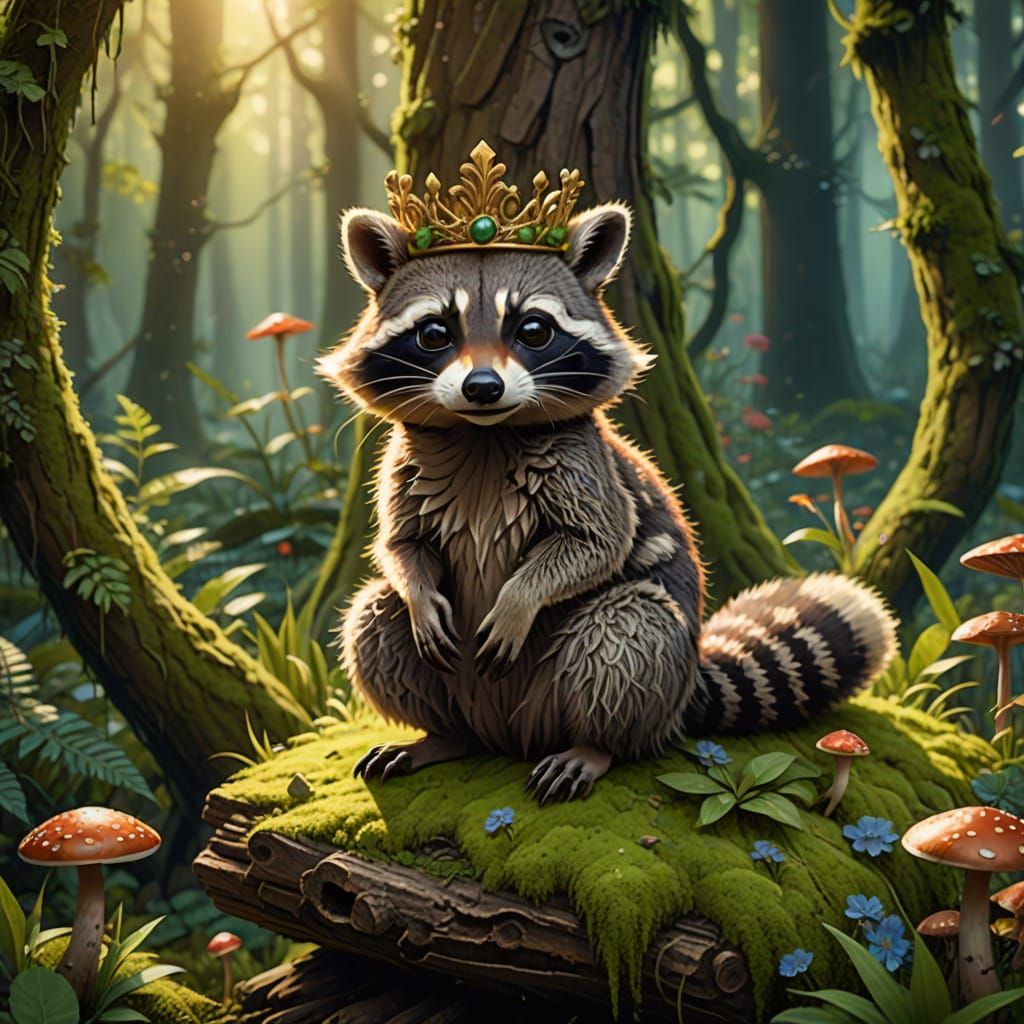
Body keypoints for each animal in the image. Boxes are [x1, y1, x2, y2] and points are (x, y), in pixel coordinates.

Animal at [318, 200, 897, 803]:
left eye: (532, 329)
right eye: (434, 332)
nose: (482, 387)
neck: (484, 433)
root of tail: (506, 735)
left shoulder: (585, 469)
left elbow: (597, 544)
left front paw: (520, 598)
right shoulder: (403, 466)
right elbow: (400, 544)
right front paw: (417, 589)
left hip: (632, 675)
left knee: (626, 630)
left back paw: (595, 745)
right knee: (374, 615)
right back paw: (441, 733)